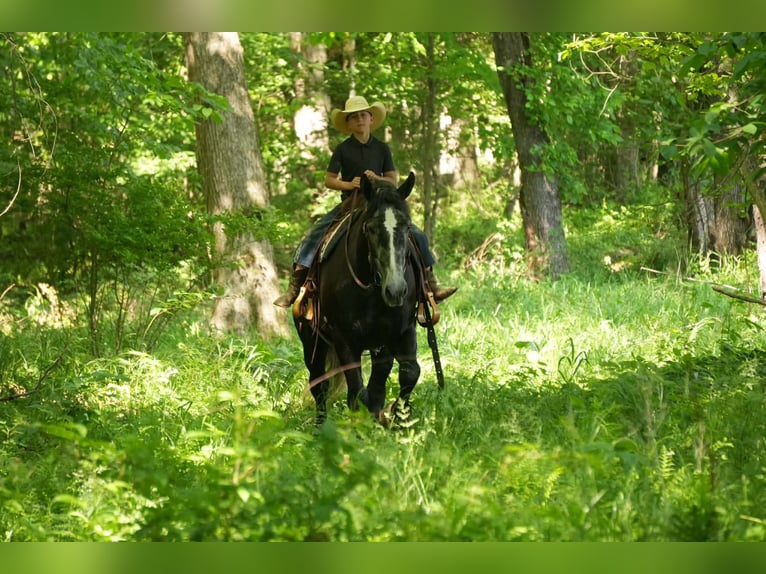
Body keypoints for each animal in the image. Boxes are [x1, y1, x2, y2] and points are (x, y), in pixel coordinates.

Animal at [293, 172, 421, 424]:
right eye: (370, 228)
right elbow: (357, 393)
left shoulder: (398, 333)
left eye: (407, 226)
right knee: (319, 383)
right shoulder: (345, 340)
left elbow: (405, 376)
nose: (395, 290)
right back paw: (320, 427)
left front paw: (395, 420)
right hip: (312, 341)